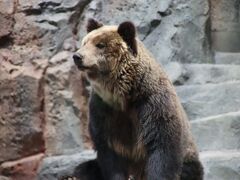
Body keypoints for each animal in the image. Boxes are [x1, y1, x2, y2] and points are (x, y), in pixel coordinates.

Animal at [72, 19, 203, 180]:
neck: (123, 95)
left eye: (100, 45)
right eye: (85, 42)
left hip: (188, 159)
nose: (77, 56)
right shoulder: (103, 110)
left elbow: (162, 147)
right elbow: (108, 152)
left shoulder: (151, 103)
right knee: (84, 169)